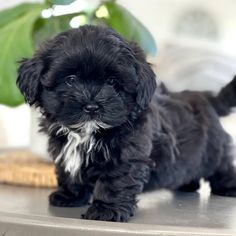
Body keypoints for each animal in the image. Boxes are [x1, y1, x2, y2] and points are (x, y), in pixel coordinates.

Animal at [17, 24, 236, 222]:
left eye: (112, 82)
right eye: (70, 79)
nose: (91, 106)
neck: (86, 133)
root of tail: (207, 97)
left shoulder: (126, 155)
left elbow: (115, 181)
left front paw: (106, 211)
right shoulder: (63, 149)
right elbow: (69, 172)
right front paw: (70, 196)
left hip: (213, 149)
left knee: (223, 164)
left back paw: (228, 186)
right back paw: (187, 184)